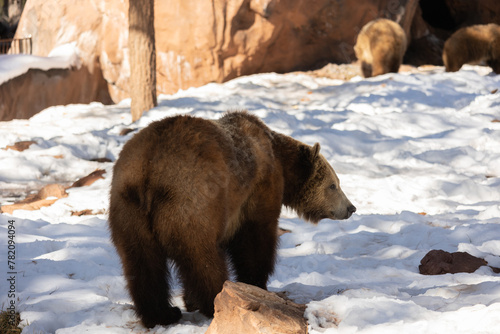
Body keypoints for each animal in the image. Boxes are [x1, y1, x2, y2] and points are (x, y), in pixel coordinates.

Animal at [109, 111, 356, 328]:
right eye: (333, 185)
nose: (350, 208)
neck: (279, 159)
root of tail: (149, 169)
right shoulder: (257, 187)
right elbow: (255, 239)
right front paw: (256, 283)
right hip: (191, 201)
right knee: (202, 258)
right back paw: (213, 300)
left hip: (129, 209)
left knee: (142, 263)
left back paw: (162, 314)